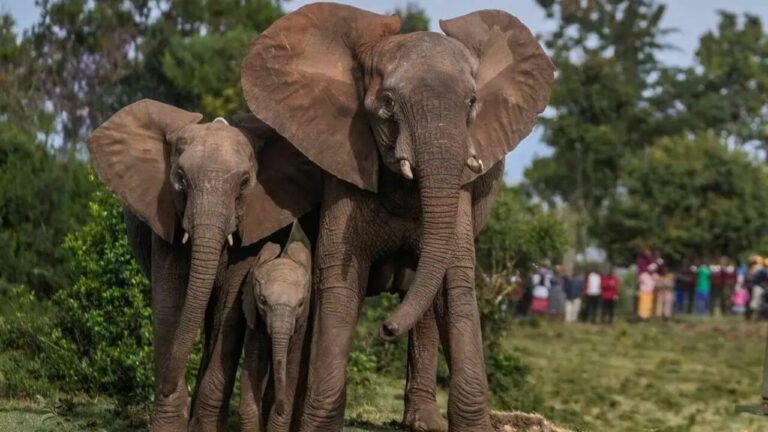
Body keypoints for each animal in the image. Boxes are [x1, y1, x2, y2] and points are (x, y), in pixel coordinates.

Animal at [240, 239, 312, 432]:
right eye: (262, 301)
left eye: (300, 303)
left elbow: (291, 368)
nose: (281, 408)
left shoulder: (300, 326)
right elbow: (254, 367)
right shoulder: (255, 320)